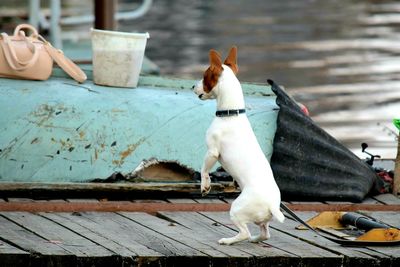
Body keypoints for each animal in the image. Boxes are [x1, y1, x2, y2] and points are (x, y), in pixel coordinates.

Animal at [193, 46, 284, 245]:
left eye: (204, 77)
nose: (192, 87)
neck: (231, 113)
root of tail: (272, 205)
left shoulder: (212, 152)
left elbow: (204, 170)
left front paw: (205, 186)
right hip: (260, 219)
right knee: (264, 233)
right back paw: (256, 239)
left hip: (236, 210)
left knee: (244, 232)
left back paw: (228, 240)